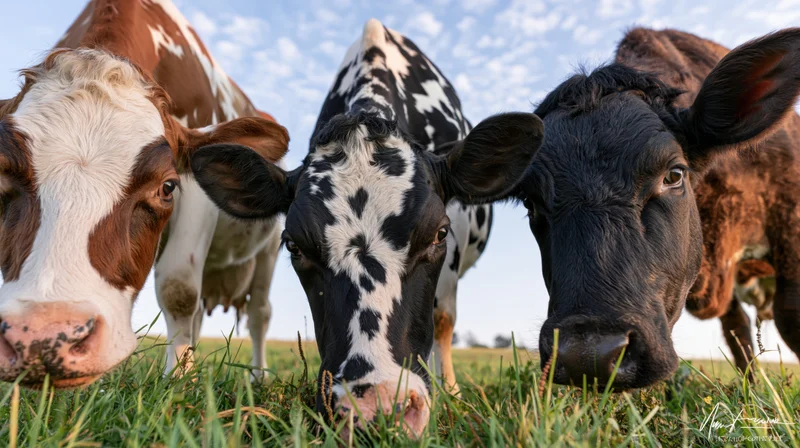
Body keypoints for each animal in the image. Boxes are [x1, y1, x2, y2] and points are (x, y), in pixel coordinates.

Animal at [0, 0, 289, 389]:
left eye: (166, 186)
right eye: (1, 175)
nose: (43, 337)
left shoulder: (197, 192)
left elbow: (178, 288)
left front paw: (179, 380)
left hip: (269, 248)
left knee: (260, 313)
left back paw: (257, 377)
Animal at [514, 27, 800, 388]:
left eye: (674, 174)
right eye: (530, 201)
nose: (588, 355)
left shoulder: (790, 223)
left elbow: (790, 318)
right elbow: (737, 332)